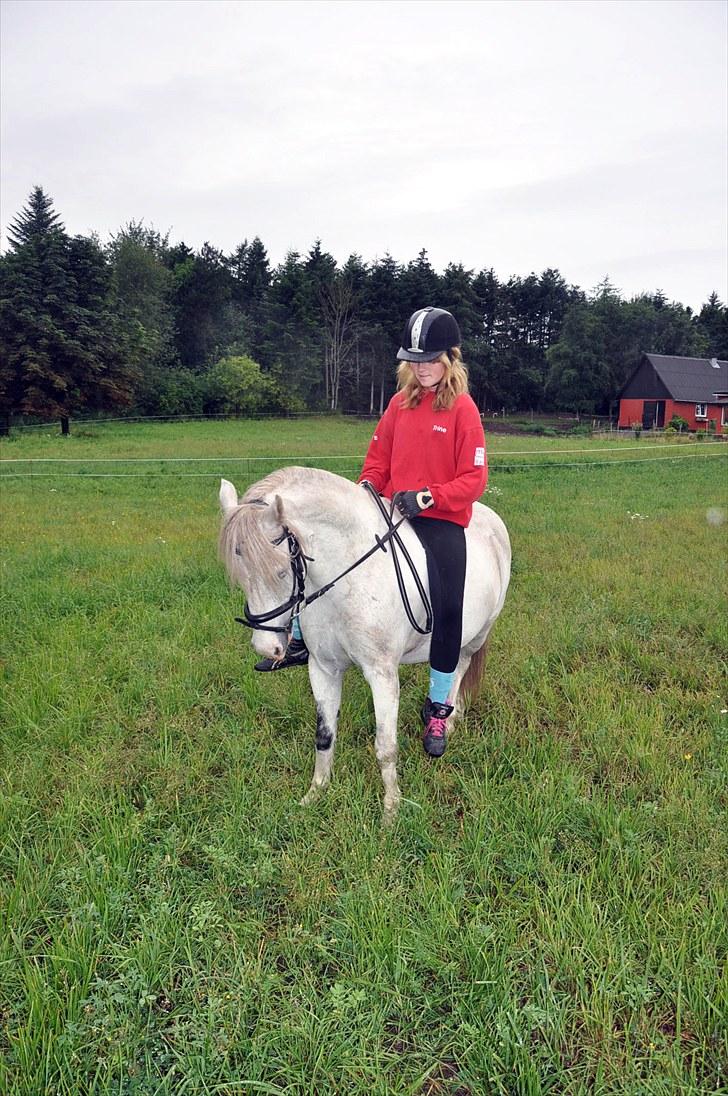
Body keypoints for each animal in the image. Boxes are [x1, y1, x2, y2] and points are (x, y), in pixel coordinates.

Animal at [219, 469, 508, 824]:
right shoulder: (323, 668)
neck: (345, 578)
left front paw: (390, 812)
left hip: (476, 635)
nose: (265, 648)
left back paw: (443, 727)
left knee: (458, 666)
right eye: (240, 576)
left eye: (281, 571)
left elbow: (386, 747)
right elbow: (324, 736)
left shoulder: (381, 674)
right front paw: (314, 794)